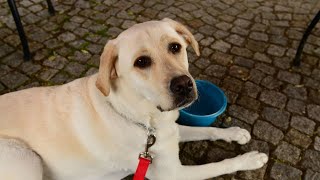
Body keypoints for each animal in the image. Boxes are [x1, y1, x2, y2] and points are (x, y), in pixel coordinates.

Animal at [0, 18, 268, 180]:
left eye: (175, 47)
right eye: (142, 62)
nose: (184, 85)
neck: (142, 116)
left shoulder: (170, 132)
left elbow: (207, 130)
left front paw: (236, 133)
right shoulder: (172, 174)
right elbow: (218, 165)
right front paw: (251, 159)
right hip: (25, 158)